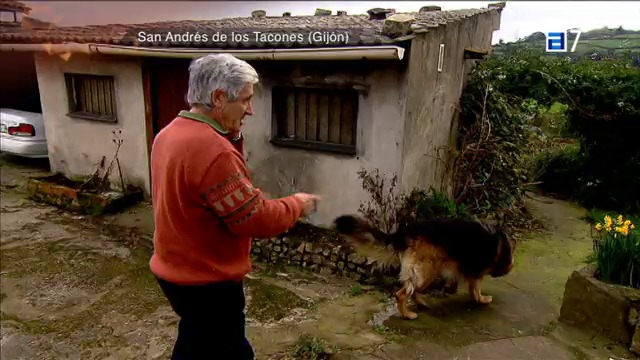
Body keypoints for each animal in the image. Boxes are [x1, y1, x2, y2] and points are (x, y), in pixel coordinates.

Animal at [330, 215, 516, 320]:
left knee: (413, 291)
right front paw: (482, 300)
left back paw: (421, 304)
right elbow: (476, 289)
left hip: (428, 270)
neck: (501, 246)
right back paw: (407, 315)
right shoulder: (476, 273)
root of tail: (406, 231)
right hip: (426, 271)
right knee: (402, 294)